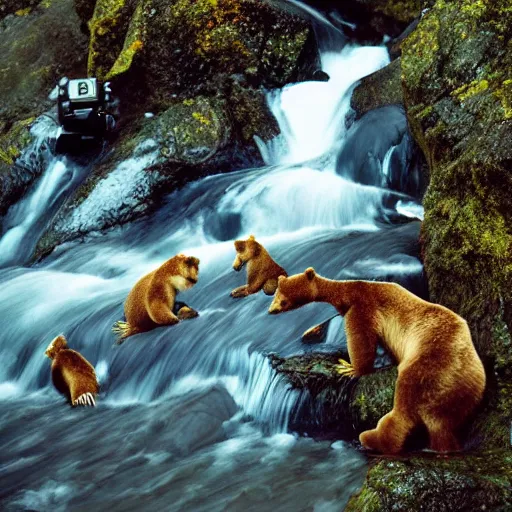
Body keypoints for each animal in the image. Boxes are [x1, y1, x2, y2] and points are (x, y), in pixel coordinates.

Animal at [266, 268, 486, 452]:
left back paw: (370, 438)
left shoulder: (363, 306)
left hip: (425, 370)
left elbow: (361, 338)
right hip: (468, 387)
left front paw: (349, 367)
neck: (348, 293)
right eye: (276, 295)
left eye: (283, 300)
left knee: (401, 413)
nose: (271, 310)